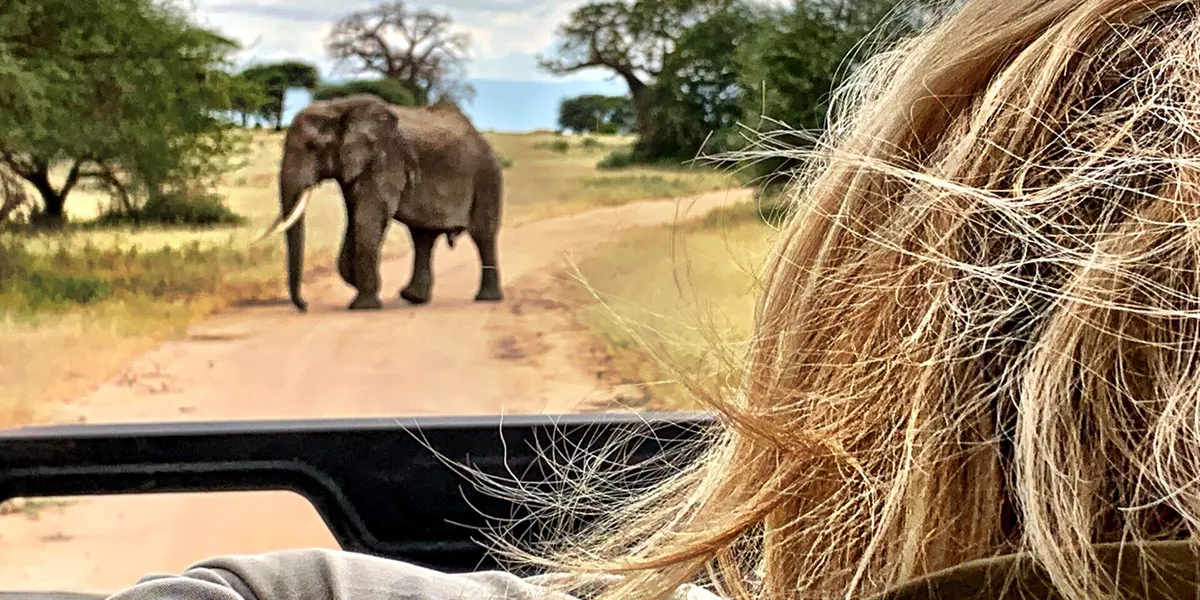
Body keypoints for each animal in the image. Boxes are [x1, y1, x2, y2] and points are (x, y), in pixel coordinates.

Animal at [260, 94, 504, 312]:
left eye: (313, 146)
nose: (305, 306)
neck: (338, 107)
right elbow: (355, 219)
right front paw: (358, 282)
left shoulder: (386, 160)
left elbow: (367, 219)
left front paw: (363, 305)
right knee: (422, 237)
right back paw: (413, 297)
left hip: (486, 176)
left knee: (483, 234)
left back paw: (487, 299)